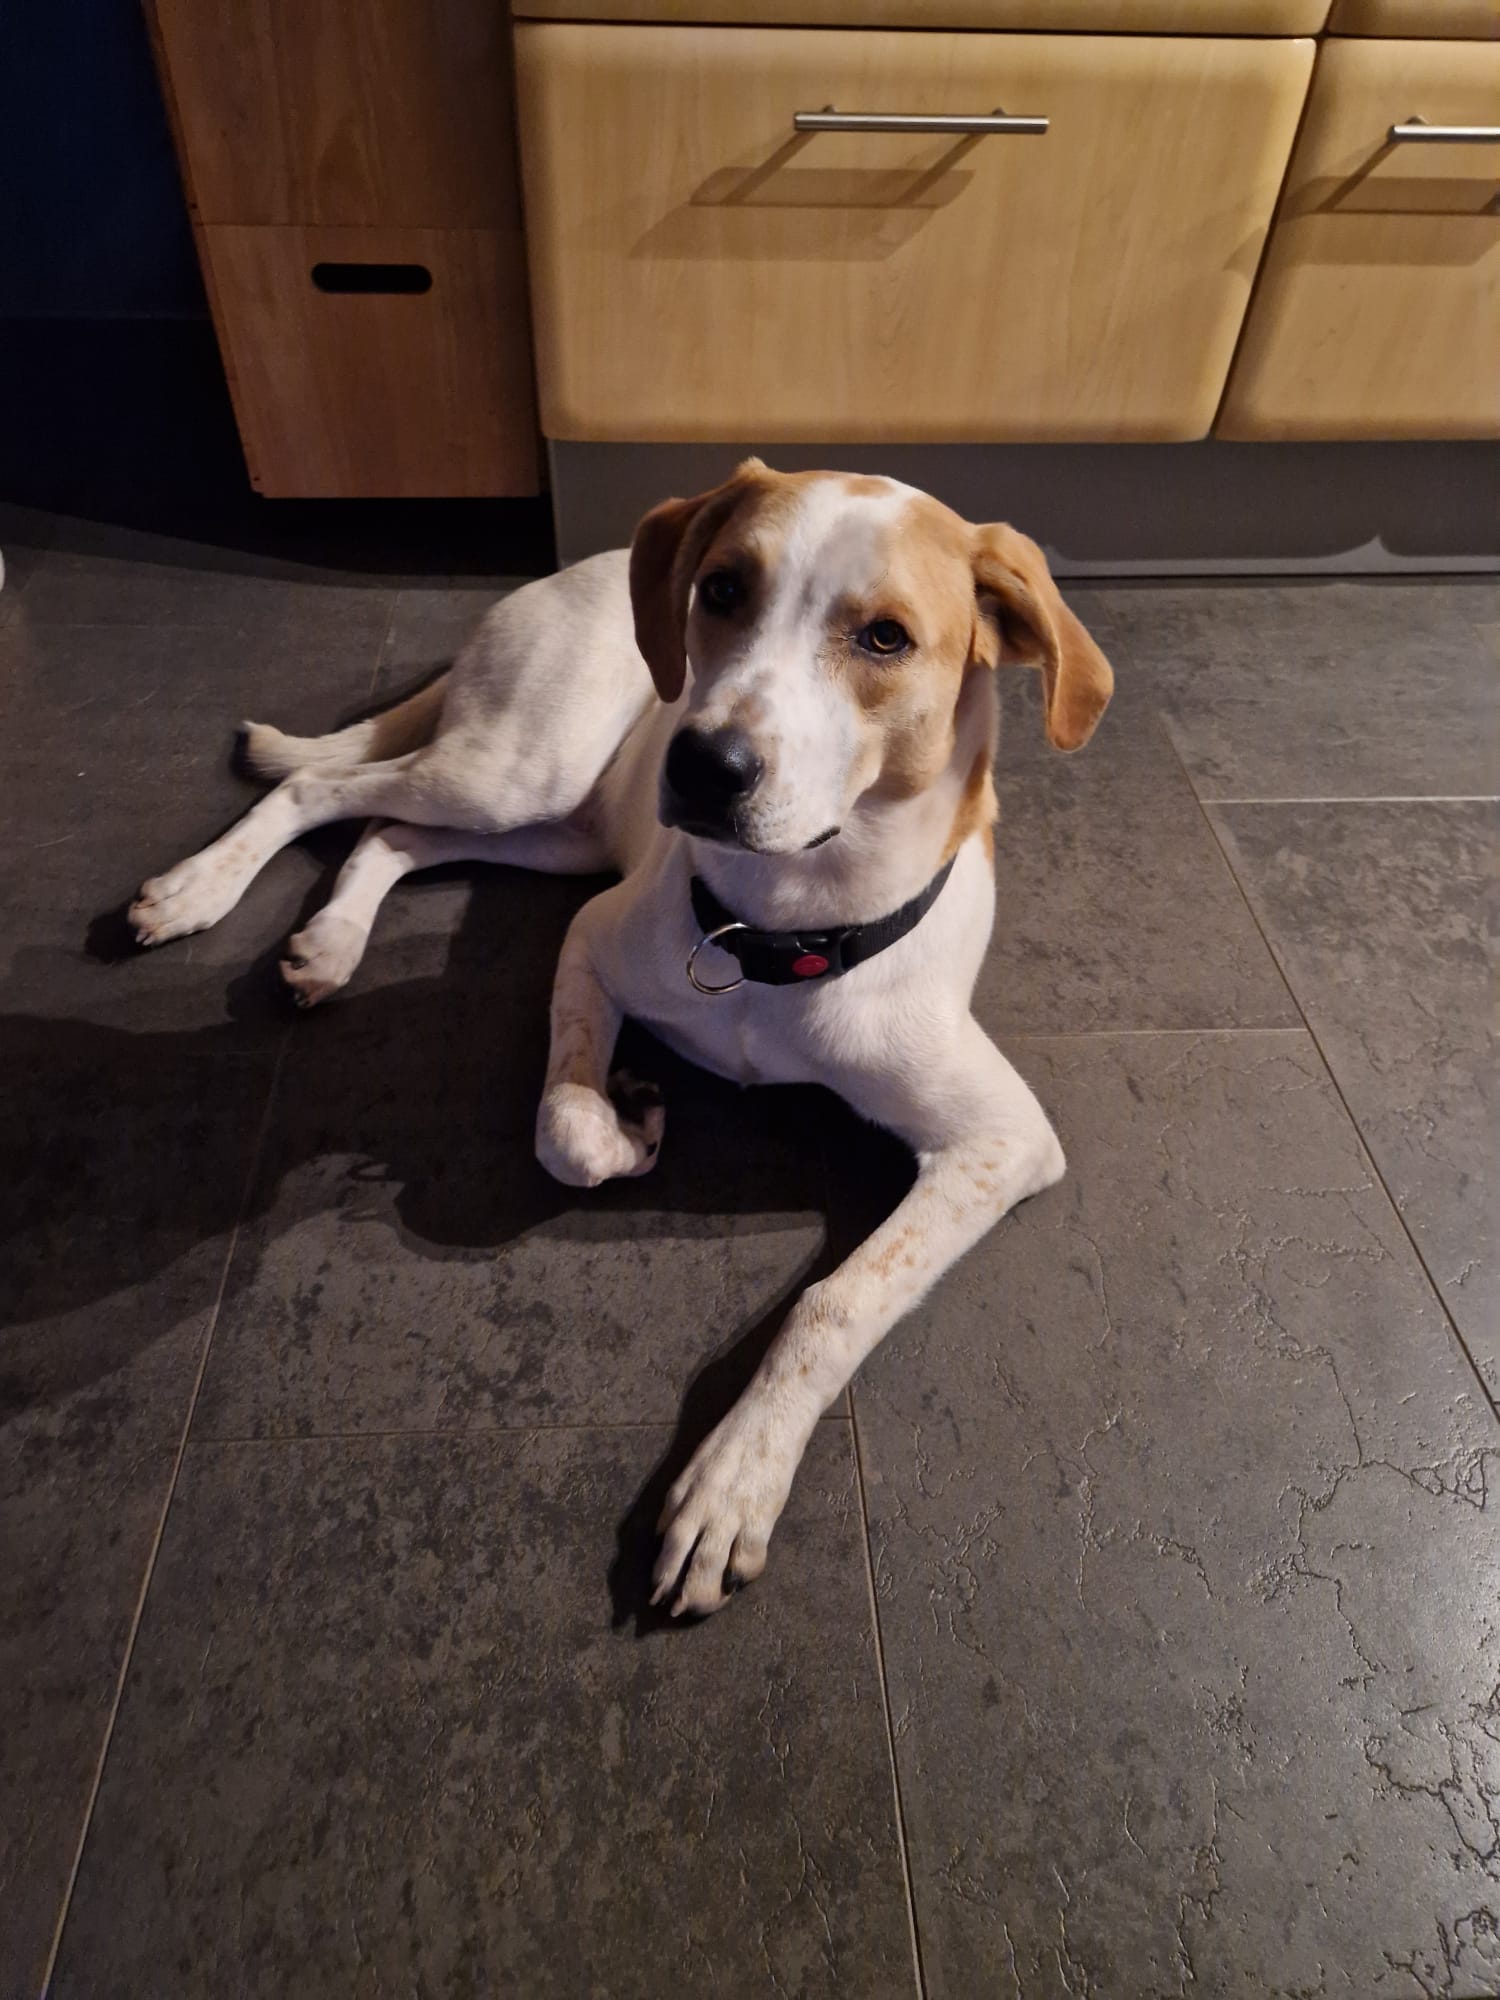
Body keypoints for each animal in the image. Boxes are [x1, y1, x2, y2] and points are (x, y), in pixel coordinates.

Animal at [129, 460, 1113, 1617]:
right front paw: (624, 1120)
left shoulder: (1000, 1141)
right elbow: (564, 1126)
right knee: (321, 788)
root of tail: (574, 568)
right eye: (723, 589)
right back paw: (200, 890)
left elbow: (835, 1301)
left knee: (392, 834)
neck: (774, 934)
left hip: (562, 826)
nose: (704, 762)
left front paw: (735, 1479)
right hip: (521, 768)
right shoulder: (592, 939)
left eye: (885, 638)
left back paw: (330, 942)